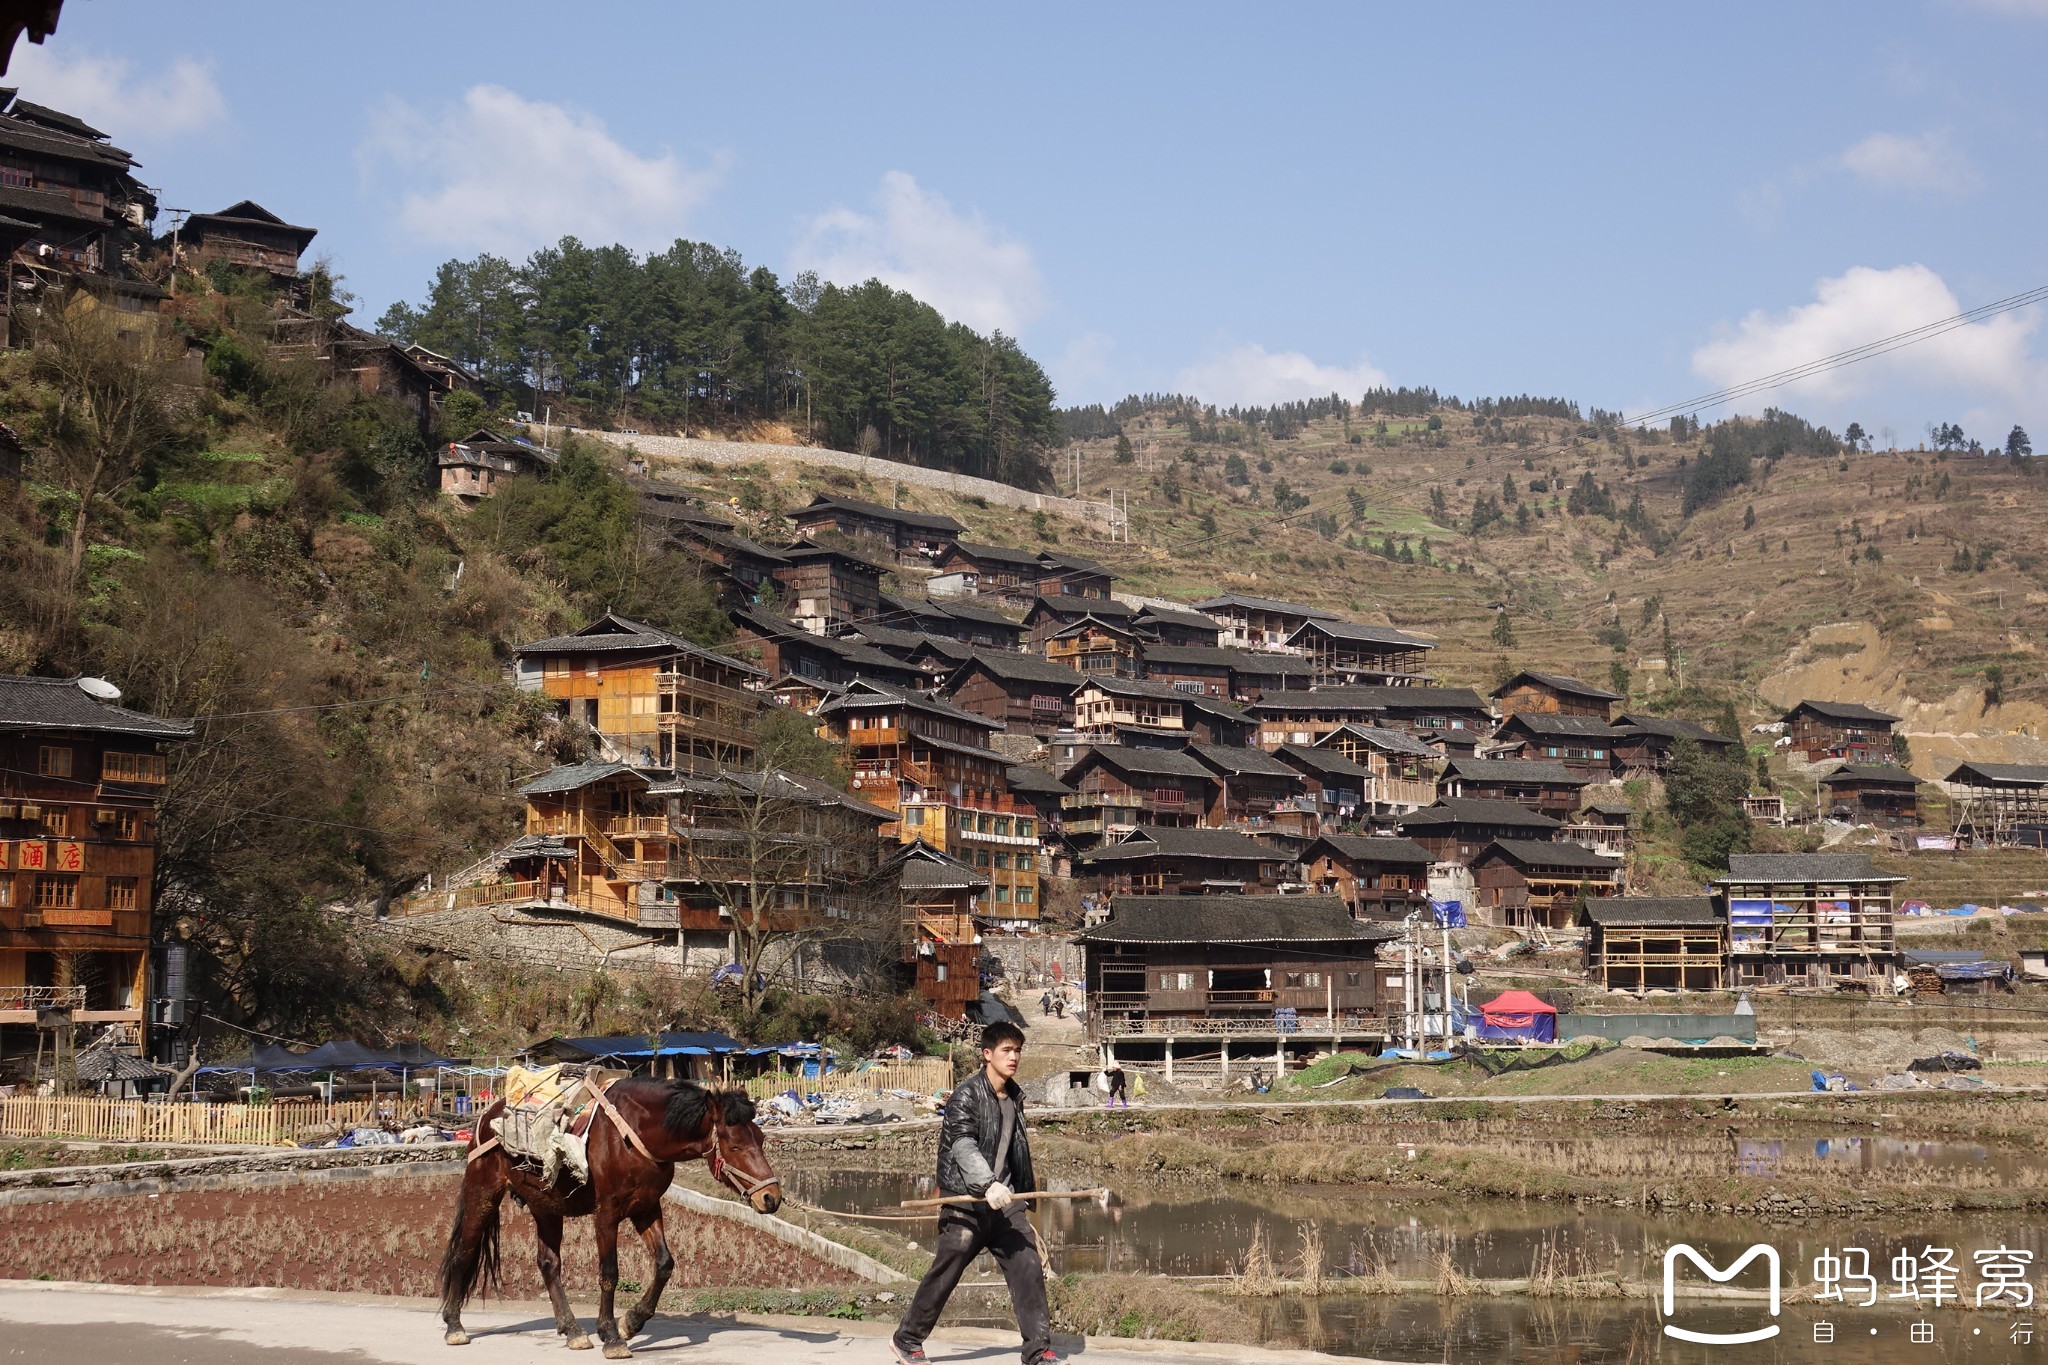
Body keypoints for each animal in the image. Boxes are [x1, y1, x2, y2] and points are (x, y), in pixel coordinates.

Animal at [436, 1080, 778, 1358]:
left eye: (761, 1138)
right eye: (734, 1145)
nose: (771, 1197)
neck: (635, 1134)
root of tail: (486, 1118)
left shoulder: (646, 1209)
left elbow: (664, 1264)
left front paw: (631, 1322)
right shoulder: (607, 1214)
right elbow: (609, 1273)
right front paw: (612, 1335)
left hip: (546, 1206)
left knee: (548, 1263)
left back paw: (572, 1330)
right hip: (482, 1194)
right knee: (463, 1253)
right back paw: (454, 1326)